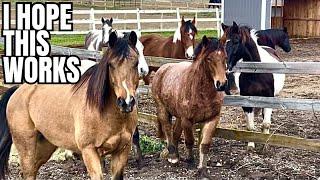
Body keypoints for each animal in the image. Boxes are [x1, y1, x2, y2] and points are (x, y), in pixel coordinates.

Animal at [0, 31, 140, 180]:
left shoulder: (122, 151)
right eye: (111, 65)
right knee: (28, 172)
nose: (126, 102)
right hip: (26, 146)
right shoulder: (89, 151)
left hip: (46, 145)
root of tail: (18, 90)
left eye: (136, 63)